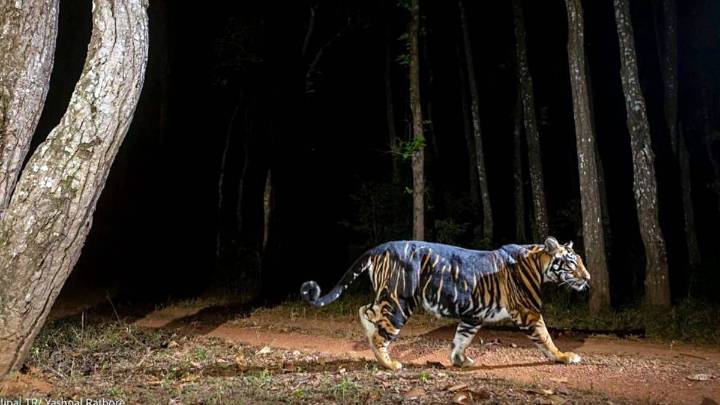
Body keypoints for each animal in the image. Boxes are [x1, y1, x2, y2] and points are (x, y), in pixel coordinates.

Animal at [300, 237, 590, 370]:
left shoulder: (473, 315)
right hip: (400, 301)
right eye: (571, 262)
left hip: (388, 297)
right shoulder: (529, 311)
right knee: (381, 330)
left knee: (366, 311)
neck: (539, 263)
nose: (587, 278)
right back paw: (389, 363)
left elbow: (462, 338)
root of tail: (381, 246)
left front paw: (460, 360)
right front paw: (564, 356)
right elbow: (546, 338)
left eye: (579, 261)